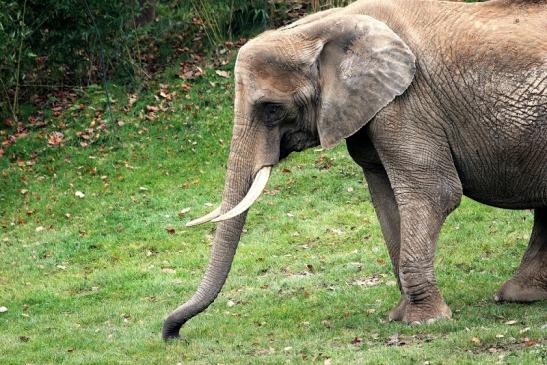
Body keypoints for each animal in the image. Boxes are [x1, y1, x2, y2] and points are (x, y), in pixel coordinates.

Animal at [161, 0, 544, 338]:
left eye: (271, 109)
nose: (172, 333)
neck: (328, 25)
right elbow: (384, 195)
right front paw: (400, 315)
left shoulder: (408, 101)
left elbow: (434, 193)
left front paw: (424, 322)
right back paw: (521, 295)